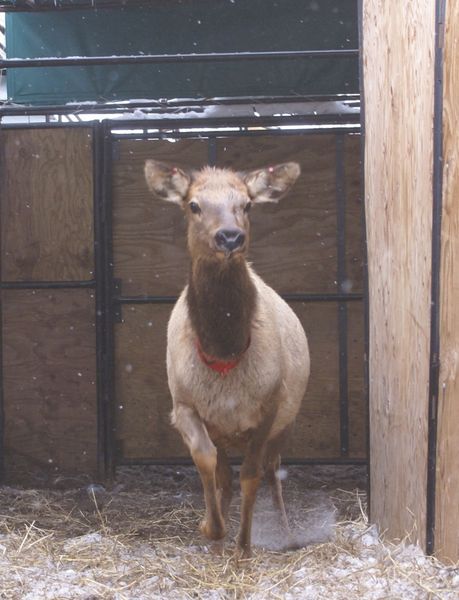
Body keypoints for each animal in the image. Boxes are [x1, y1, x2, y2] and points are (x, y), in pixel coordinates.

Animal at [146, 159, 310, 556]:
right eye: (193, 205)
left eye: (247, 204)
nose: (230, 238)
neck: (224, 351)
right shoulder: (185, 404)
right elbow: (207, 461)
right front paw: (210, 528)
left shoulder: (269, 409)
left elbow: (251, 476)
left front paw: (244, 548)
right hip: (222, 431)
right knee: (224, 476)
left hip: (288, 422)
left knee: (273, 470)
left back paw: (286, 534)